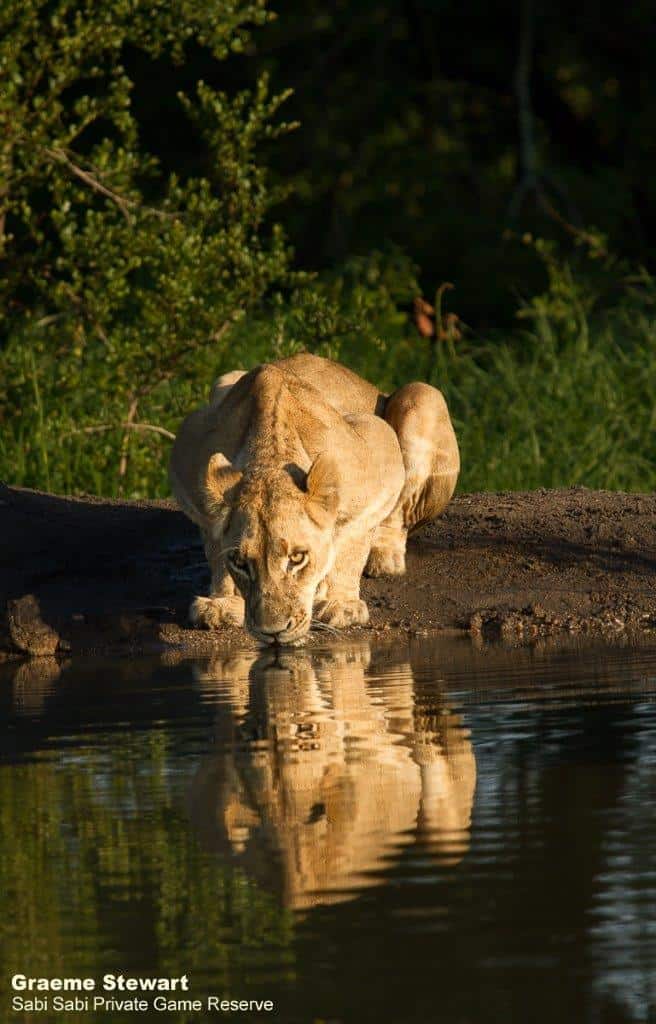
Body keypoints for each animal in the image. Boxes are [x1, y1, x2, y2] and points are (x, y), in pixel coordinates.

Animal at [169, 353, 459, 645]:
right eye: (240, 562)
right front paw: (222, 602)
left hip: (422, 395)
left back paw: (383, 557)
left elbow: (352, 538)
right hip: (224, 379)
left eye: (298, 558)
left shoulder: (378, 442)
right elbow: (216, 544)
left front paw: (340, 603)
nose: (272, 632)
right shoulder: (191, 453)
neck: (269, 456)